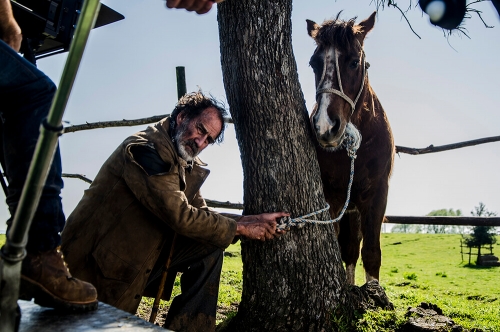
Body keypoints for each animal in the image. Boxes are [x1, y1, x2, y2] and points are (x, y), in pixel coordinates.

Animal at [306, 11, 396, 284]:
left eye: (355, 62)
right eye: (314, 64)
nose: (325, 126)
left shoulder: (377, 195)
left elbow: (371, 253)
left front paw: (373, 289)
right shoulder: (333, 196)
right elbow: (340, 247)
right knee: (348, 248)